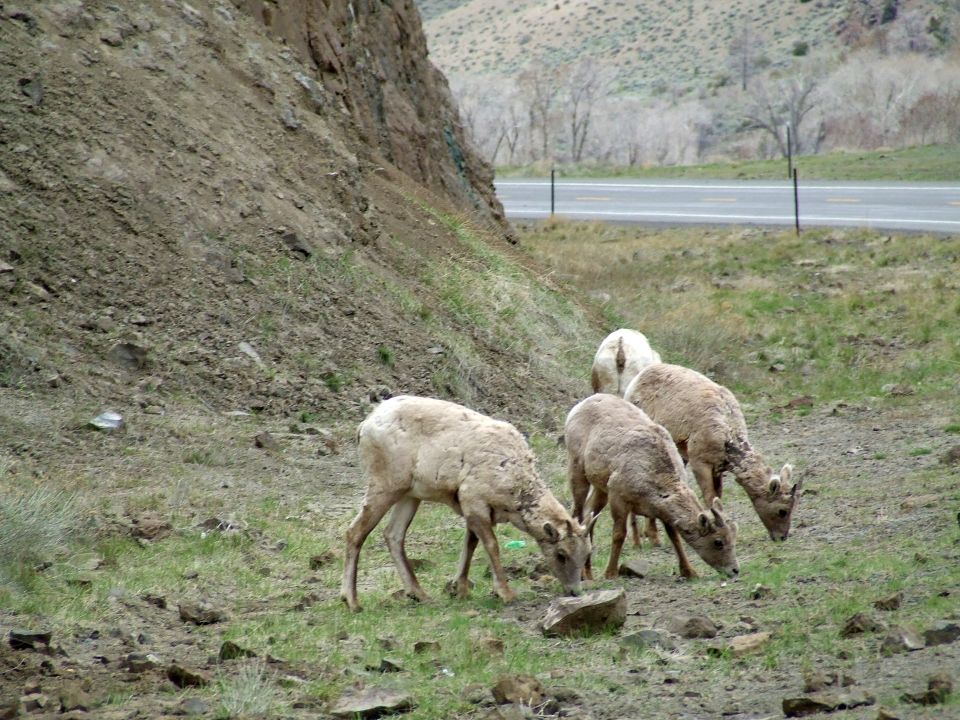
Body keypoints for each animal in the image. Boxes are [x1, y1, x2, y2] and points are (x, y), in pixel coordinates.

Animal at [341, 395, 595, 612]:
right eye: (561, 554)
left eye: (587, 553)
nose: (574, 591)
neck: (512, 479)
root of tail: (364, 426)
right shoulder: (474, 502)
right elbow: (491, 545)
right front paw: (506, 593)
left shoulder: (474, 508)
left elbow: (470, 544)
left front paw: (460, 589)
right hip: (384, 486)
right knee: (355, 532)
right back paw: (352, 601)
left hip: (409, 495)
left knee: (393, 534)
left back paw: (419, 594)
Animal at [565, 393, 739, 580]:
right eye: (718, 542)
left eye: (733, 535)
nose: (735, 570)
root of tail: (580, 405)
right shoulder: (618, 497)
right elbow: (619, 534)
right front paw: (610, 573)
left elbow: (674, 536)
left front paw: (689, 572)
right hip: (578, 470)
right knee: (577, 513)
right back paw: (583, 575)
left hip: (600, 487)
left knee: (589, 514)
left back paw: (588, 574)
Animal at [623, 363, 800, 542]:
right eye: (782, 511)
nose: (781, 537)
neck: (727, 434)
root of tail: (637, 379)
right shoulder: (699, 462)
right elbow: (709, 497)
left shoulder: (718, 468)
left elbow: (717, 497)